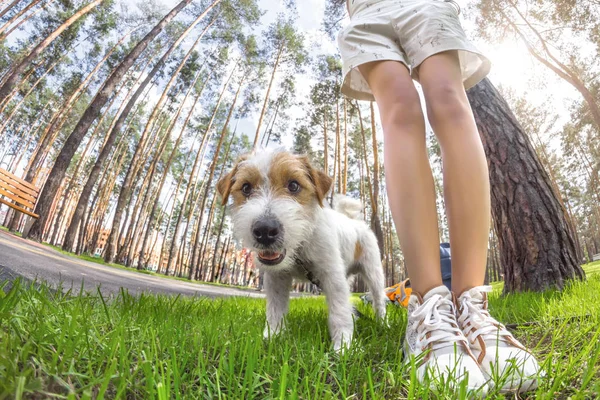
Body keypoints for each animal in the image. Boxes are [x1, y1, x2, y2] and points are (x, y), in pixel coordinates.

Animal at [218, 148, 386, 352]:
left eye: (293, 185)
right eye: (246, 188)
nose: (265, 231)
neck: (299, 247)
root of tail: (355, 221)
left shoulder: (332, 276)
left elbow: (339, 312)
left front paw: (343, 347)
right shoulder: (276, 279)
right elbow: (275, 309)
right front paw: (272, 336)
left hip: (374, 273)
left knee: (379, 300)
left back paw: (383, 323)